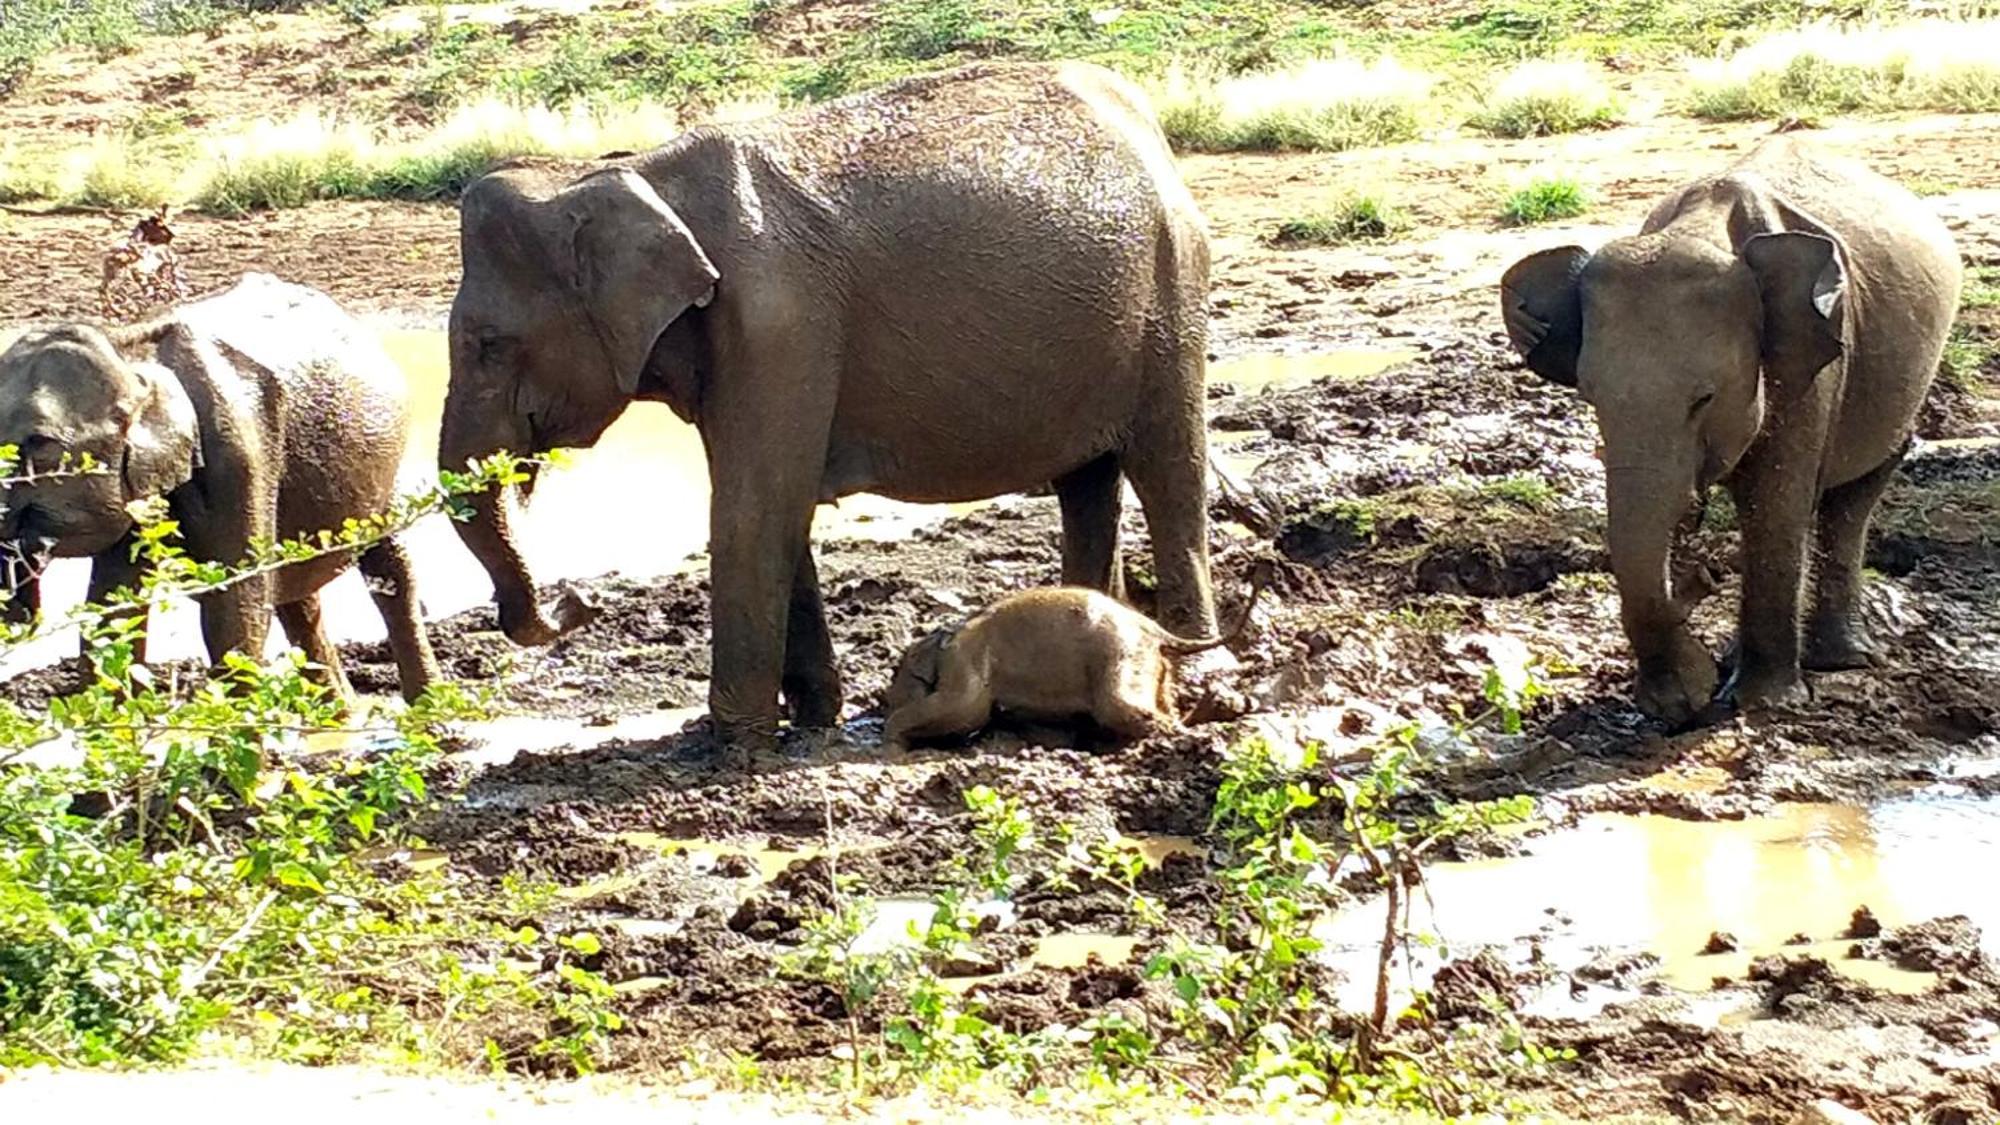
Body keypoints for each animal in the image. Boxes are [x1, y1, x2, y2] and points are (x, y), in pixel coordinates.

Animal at [0, 272, 442, 700]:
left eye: (39, 444)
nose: (23, 610)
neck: (131, 352)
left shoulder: (240, 451)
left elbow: (234, 607)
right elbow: (115, 607)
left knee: (388, 567)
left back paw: (427, 706)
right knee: (295, 592)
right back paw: (343, 714)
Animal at [440, 59, 1216, 744]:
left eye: (488, 345)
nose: (577, 600)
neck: (629, 171)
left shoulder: (780, 324)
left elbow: (753, 509)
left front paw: (725, 747)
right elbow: (778, 507)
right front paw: (812, 723)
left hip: (1172, 295)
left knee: (1169, 472)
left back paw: (1202, 659)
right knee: (1088, 485)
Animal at [884, 560, 1272, 752]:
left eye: (895, 673)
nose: (886, 703)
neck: (942, 638)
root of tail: (1155, 630)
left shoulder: (964, 664)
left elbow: (964, 710)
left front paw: (894, 742)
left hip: (1121, 655)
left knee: (1125, 708)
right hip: (1149, 664)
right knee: (1163, 707)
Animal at [1504, 140, 1960, 720]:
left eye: (1704, 399)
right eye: (1590, 398)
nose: (1701, 576)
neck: (1700, 227)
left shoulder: (1810, 362)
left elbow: (1775, 502)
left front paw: (1763, 703)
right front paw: (1684, 699)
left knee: (1856, 495)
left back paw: (1841, 661)